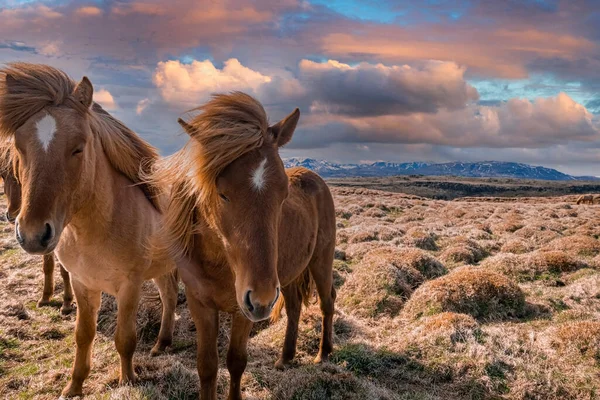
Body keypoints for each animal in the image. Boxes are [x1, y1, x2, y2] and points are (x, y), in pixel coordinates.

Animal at [0, 145, 73, 314]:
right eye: (3, 175)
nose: (12, 216)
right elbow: (47, 265)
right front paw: (46, 297)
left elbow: (65, 270)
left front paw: (67, 302)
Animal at [150, 92, 338, 400]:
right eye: (222, 193)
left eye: (283, 193)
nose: (262, 298)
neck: (221, 262)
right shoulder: (200, 303)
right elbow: (207, 366)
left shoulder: (244, 309)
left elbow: (236, 362)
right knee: (294, 307)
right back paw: (285, 357)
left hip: (320, 262)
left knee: (327, 302)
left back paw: (323, 353)